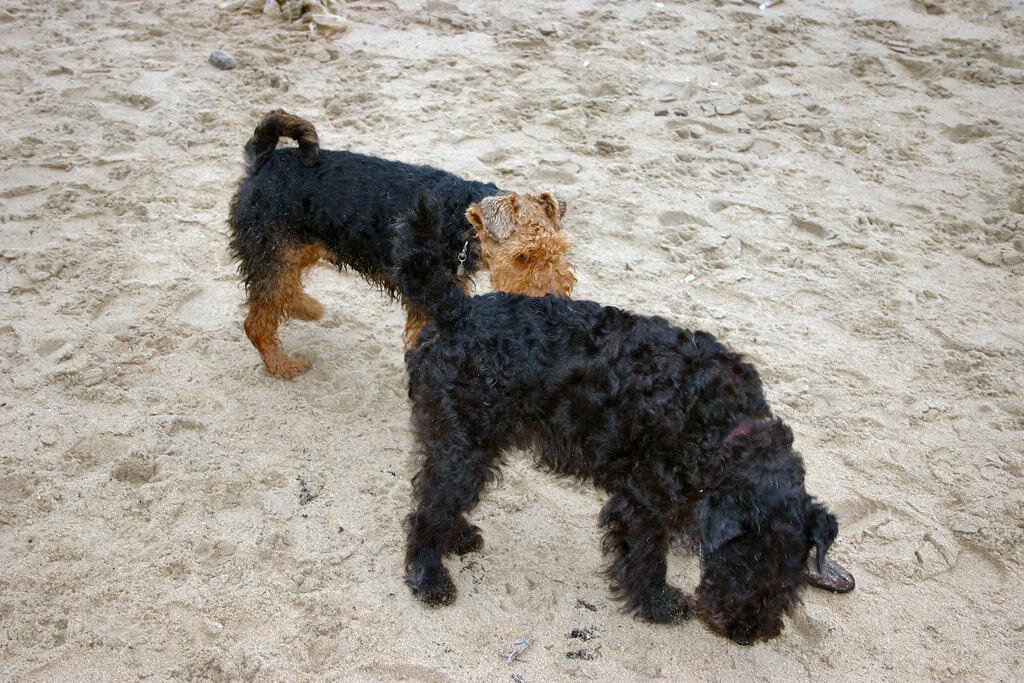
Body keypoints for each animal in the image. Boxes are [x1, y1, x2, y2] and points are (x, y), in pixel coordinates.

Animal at [387, 196, 851, 647]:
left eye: (790, 576)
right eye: (745, 561)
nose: (746, 632)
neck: (723, 427)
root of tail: (458, 310)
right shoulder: (645, 499)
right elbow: (646, 555)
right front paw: (659, 604)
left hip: (467, 443)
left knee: (437, 494)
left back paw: (458, 536)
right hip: (465, 444)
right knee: (428, 509)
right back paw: (430, 578)